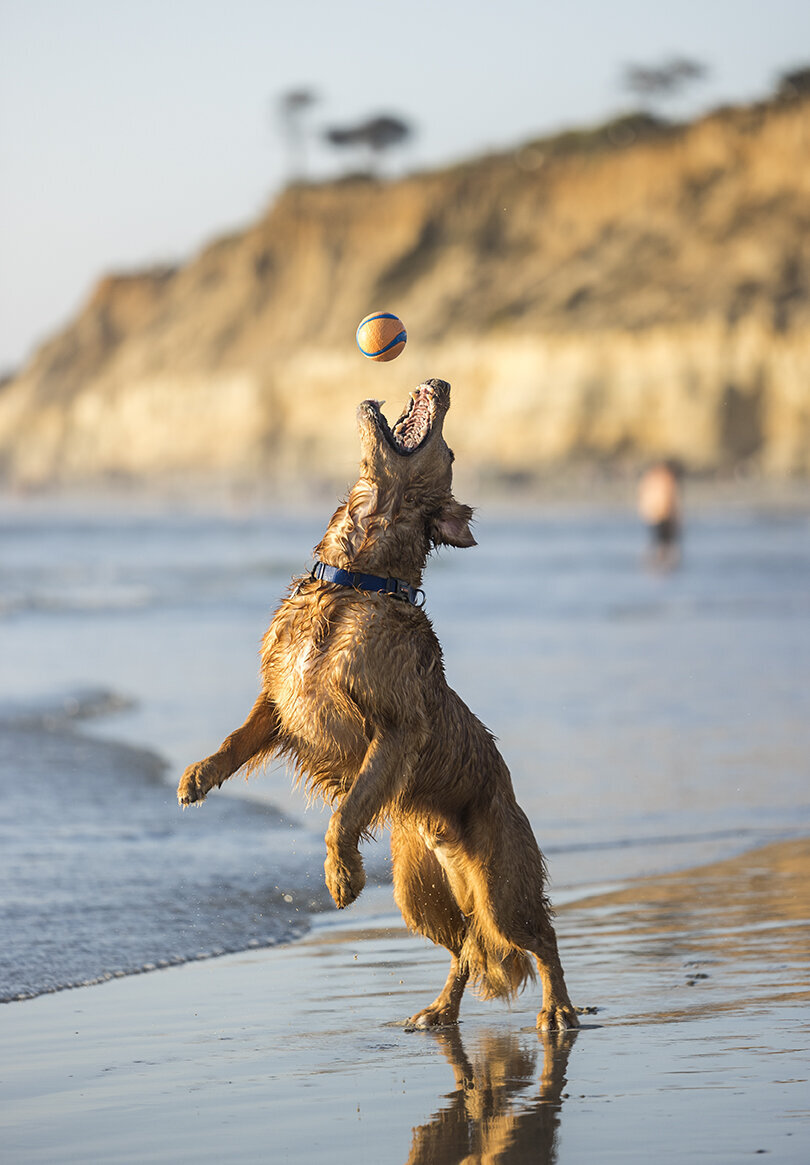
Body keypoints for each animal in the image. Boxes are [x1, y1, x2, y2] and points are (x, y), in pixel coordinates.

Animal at [179, 377, 580, 1034]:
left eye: (450, 451)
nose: (442, 382)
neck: (353, 585)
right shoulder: (278, 696)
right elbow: (238, 738)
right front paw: (199, 775)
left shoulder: (394, 728)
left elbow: (344, 815)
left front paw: (341, 878)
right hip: (418, 893)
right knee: (466, 946)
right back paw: (439, 1010)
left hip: (502, 886)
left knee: (539, 937)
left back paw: (560, 1008)